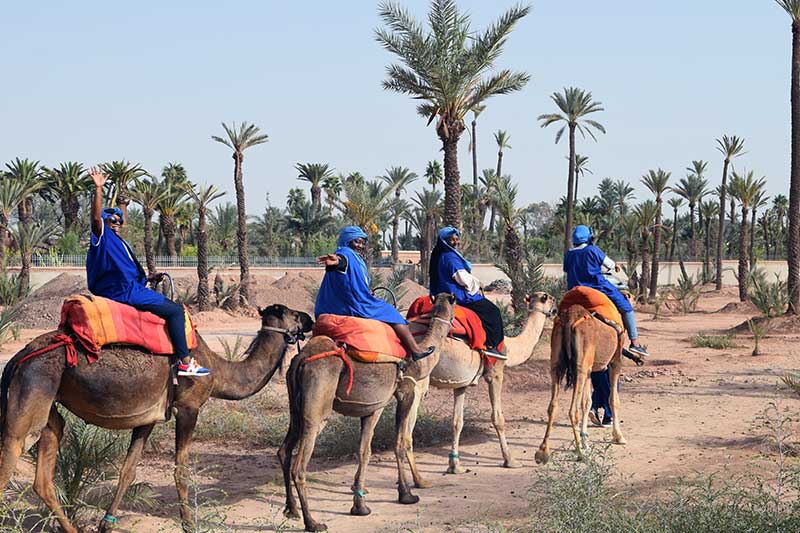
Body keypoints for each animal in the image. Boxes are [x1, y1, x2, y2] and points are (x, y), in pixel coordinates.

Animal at [0, 304, 312, 532]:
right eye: (295, 315)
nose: (310, 319)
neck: (219, 371)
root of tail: (19, 355)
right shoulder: (189, 407)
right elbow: (181, 469)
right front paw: (188, 522)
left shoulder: (147, 418)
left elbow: (128, 471)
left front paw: (106, 524)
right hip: (32, 389)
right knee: (11, 455)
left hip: (47, 408)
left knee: (44, 473)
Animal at [276, 294, 456, 528]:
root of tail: (299, 360)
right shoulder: (405, 391)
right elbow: (399, 442)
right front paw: (406, 494)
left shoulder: (372, 408)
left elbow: (364, 451)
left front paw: (359, 504)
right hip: (317, 408)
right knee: (300, 465)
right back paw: (312, 523)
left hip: (295, 407)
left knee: (284, 451)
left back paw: (292, 509)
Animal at [406, 290, 556, 478]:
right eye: (549, 298)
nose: (555, 310)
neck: (511, 347)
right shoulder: (495, 373)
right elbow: (498, 418)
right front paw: (510, 460)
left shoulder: (461, 383)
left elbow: (457, 422)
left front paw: (455, 466)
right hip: (418, 380)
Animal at [536, 302, 628, 464]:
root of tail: (570, 320)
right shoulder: (615, 362)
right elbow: (613, 399)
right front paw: (619, 437)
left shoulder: (589, 370)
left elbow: (587, 402)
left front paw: (586, 442)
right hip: (580, 366)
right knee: (573, 410)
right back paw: (580, 454)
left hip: (558, 364)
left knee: (552, 406)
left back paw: (543, 452)